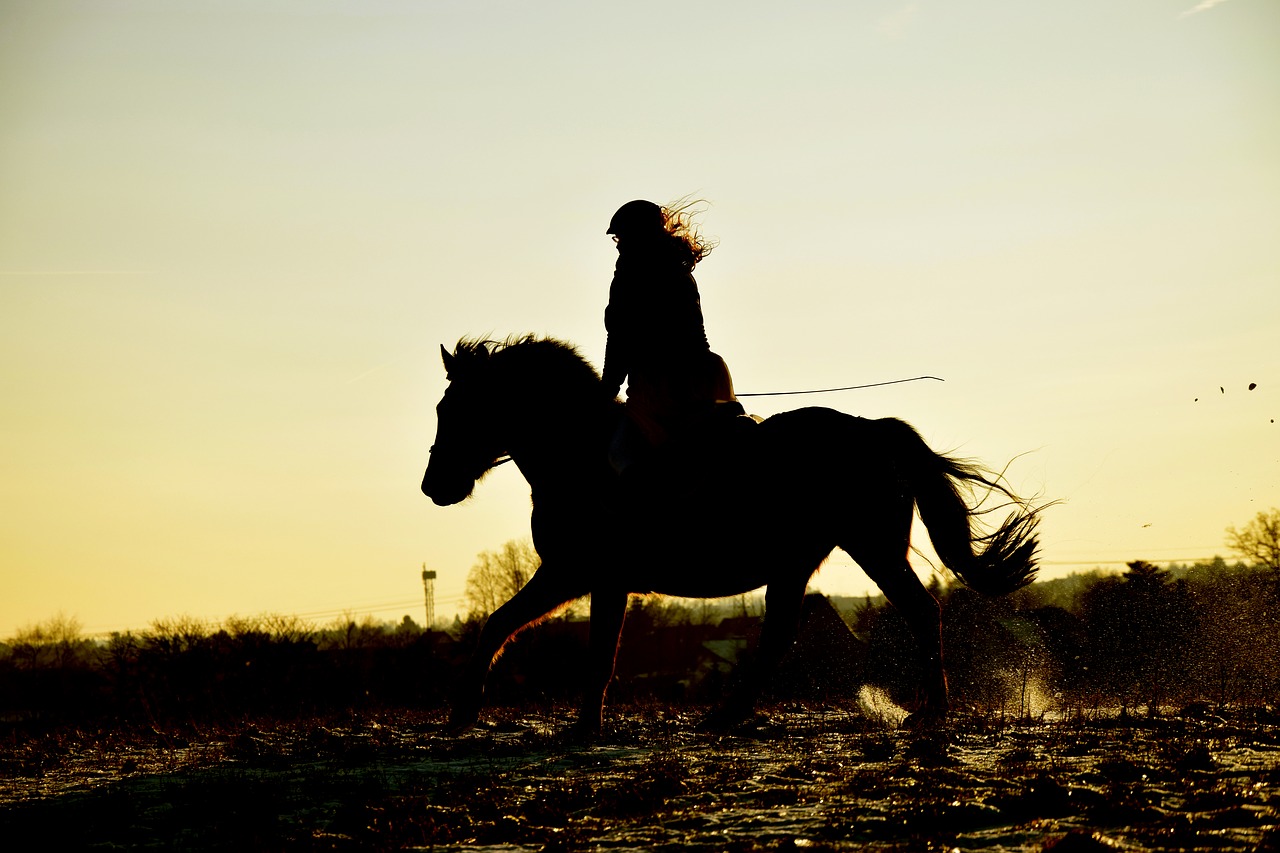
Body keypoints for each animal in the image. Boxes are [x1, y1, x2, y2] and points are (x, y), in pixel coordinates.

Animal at [419, 335, 1039, 732]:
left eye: (456, 409)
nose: (433, 486)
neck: (579, 455)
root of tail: (875, 431)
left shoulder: (586, 575)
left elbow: (587, 648)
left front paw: (573, 725)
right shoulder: (576, 577)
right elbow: (504, 625)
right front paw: (469, 713)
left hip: (871, 549)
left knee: (919, 613)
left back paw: (931, 710)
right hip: (800, 562)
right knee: (783, 637)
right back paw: (729, 713)